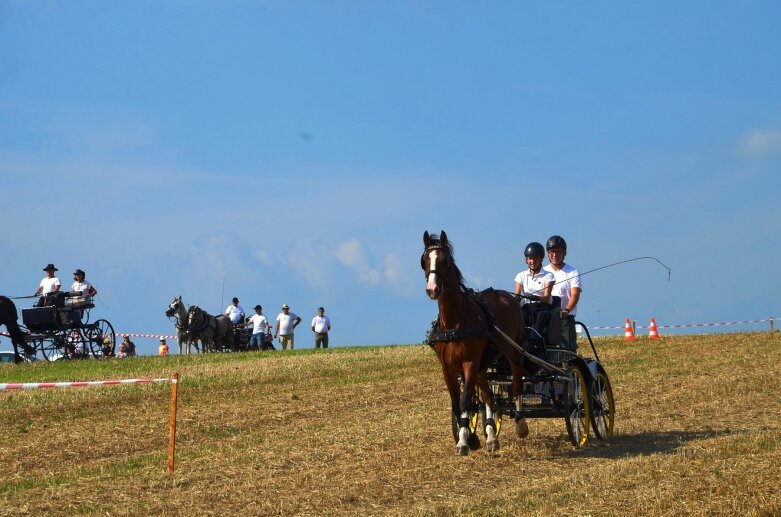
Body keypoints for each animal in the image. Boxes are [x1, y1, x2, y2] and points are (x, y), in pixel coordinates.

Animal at [420, 232, 532, 454]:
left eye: (445, 260)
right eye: (425, 260)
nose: (433, 289)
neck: (454, 322)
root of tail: (505, 295)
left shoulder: (470, 363)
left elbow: (466, 402)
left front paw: (465, 441)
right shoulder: (448, 369)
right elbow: (460, 404)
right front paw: (470, 437)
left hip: (513, 352)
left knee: (516, 382)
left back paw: (520, 423)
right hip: (483, 365)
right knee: (489, 396)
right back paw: (491, 436)